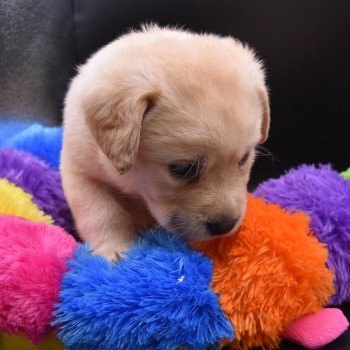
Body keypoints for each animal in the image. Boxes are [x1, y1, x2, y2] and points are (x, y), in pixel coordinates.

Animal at [60, 25, 270, 260]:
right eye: (182, 169)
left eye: (244, 158)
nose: (225, 226)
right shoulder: (80, 173)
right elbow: (102, 212)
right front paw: (114, 249)